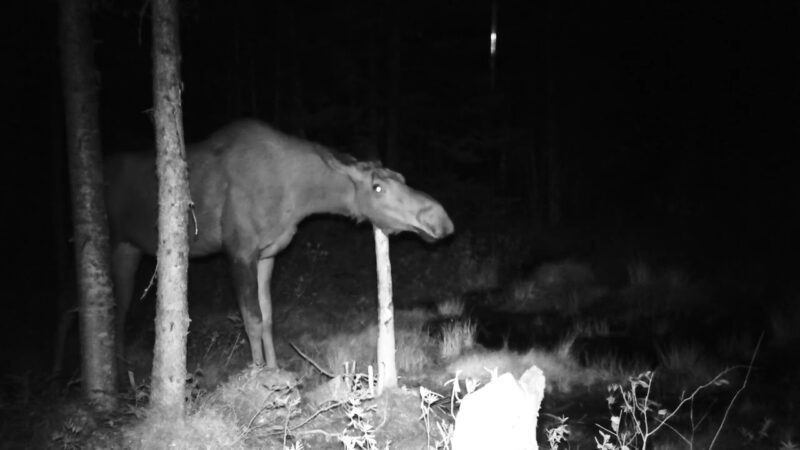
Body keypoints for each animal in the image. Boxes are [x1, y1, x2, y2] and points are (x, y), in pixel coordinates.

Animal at [105, 120, 454, 370]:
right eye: (378, 187)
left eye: (403, 177)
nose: (441, 219)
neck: (299, 198)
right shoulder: (239, 251)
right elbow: (252, 318)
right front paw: (260, 373)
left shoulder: (267, 254)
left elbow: (268, 316)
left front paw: (274, 370)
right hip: (116, 243)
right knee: (118, 308)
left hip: (131, 248)